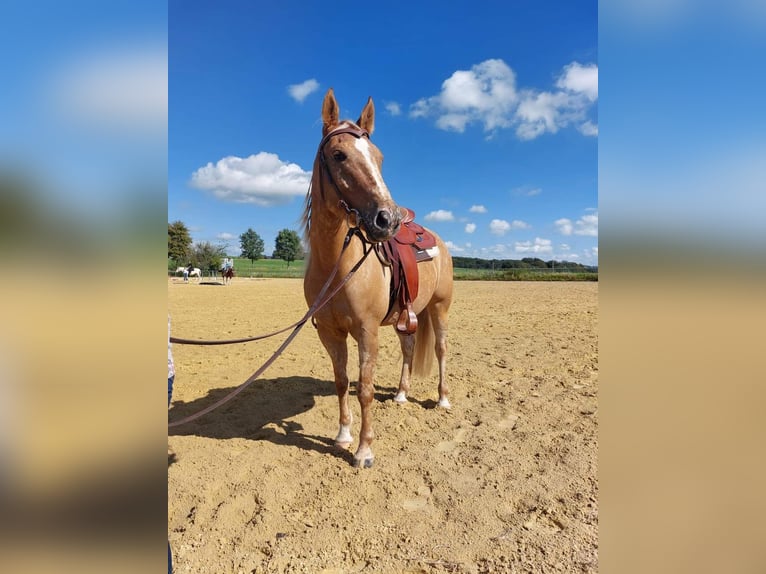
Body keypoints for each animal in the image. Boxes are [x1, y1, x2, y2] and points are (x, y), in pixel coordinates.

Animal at [304, 89, 452, 468]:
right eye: (338, 154)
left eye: (379, 158)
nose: (388, 220)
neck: (336, 266)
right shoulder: (330, 332)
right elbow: (342, 382)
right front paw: (343, 435)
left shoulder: (367, 332)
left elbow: (366, 388)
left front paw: (364, 450)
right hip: (406, 316)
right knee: (409, 348)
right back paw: (400, 394)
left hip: (440, 308)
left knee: (441, 349)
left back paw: (443, 399)